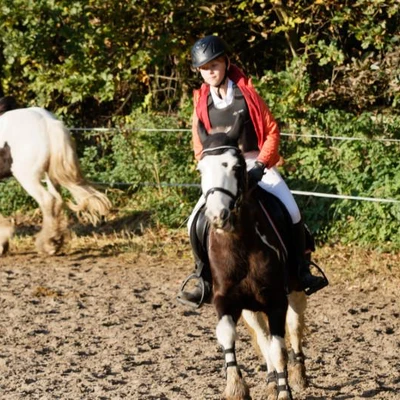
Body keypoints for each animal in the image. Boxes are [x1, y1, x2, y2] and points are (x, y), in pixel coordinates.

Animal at [0, 105, 111, 256]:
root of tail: (48, 123)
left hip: (27, 177)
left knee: (47, 200)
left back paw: (48, 244)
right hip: (50, 175)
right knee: (57, 200)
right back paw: (55, 241)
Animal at [196, 115, 306, 396]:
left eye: (236, 167)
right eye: (201, 170)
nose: (218, 215)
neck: (240, 245)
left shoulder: (276, 301)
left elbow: (280, 349)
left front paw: (284, 392)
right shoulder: (225, 299)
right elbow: (228, 336)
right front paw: (235, 387)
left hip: (295, 289)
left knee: (295, 328)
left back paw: (299, 374)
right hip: (250, 308)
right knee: (263, 338)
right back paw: (270, 381)